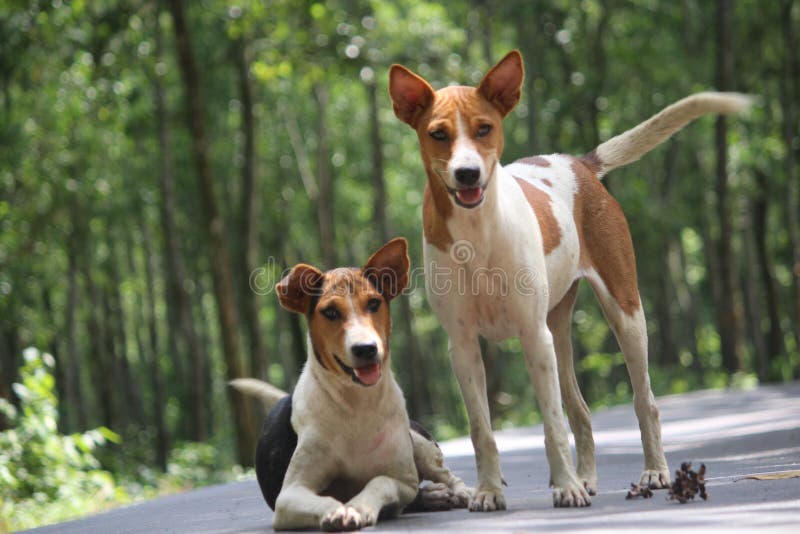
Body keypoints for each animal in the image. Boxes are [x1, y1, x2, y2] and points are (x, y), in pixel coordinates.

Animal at [234, 241, 472, 532]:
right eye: (330, 312)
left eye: (374, 303)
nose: (366, 349)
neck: (357, 402)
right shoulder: (288, 496)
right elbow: (324, 498)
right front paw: (340, 510)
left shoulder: (403, 480)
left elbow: (380, 481)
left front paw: (360, 505)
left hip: (420, 442)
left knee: (445, 474)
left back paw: (466, 492)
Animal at [390, 51, 752, 516]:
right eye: (438, 134)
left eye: (484, 128)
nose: (467, 174)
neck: (478, 232)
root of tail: (578, 163)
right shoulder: (464, 346)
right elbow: (482, 429)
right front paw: (489, 491)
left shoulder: (531, 334)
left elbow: (551, 422)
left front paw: (565, 487)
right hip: (557, 333)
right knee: (579, 409)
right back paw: (588, 479)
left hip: (622, 312)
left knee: (644, 401)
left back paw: (652, 471)